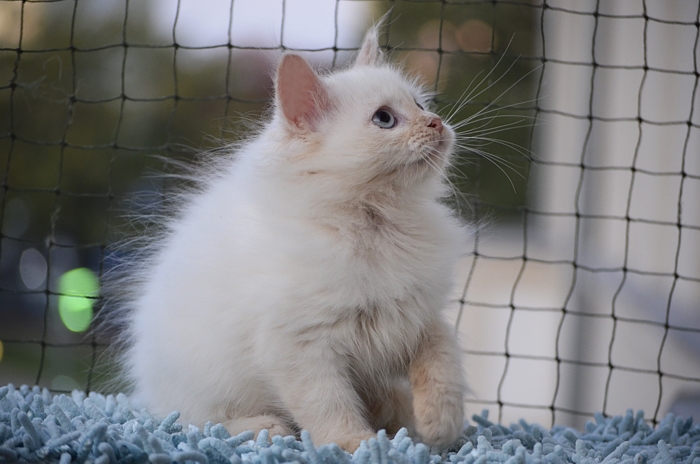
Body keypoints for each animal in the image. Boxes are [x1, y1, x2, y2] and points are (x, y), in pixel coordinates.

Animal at [118, 23, 468, 452]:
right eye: (384, 118)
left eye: (419, 104)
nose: (436, 122)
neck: (377, 225)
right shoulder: (300, 346)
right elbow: (328, 406)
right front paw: (356, 444)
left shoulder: (422, 317)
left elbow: (444, 367)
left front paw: (440, 426)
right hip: (202, 392)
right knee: (197, 422)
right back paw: (268, 428)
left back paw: (396, 412)